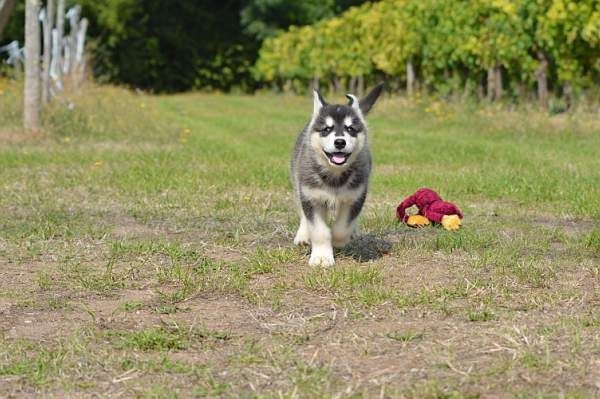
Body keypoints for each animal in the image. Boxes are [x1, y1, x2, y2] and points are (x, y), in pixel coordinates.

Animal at [290, 83, 384, 268]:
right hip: (298, 183)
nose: (340, 142)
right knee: (302, 212)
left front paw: (337, 241)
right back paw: (303, 235)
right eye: (327, 129)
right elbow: (319, 230)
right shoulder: (311, 197)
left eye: (350, 129)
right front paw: (321, 257)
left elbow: (342, 228)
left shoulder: (355, 197)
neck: (334, 175)